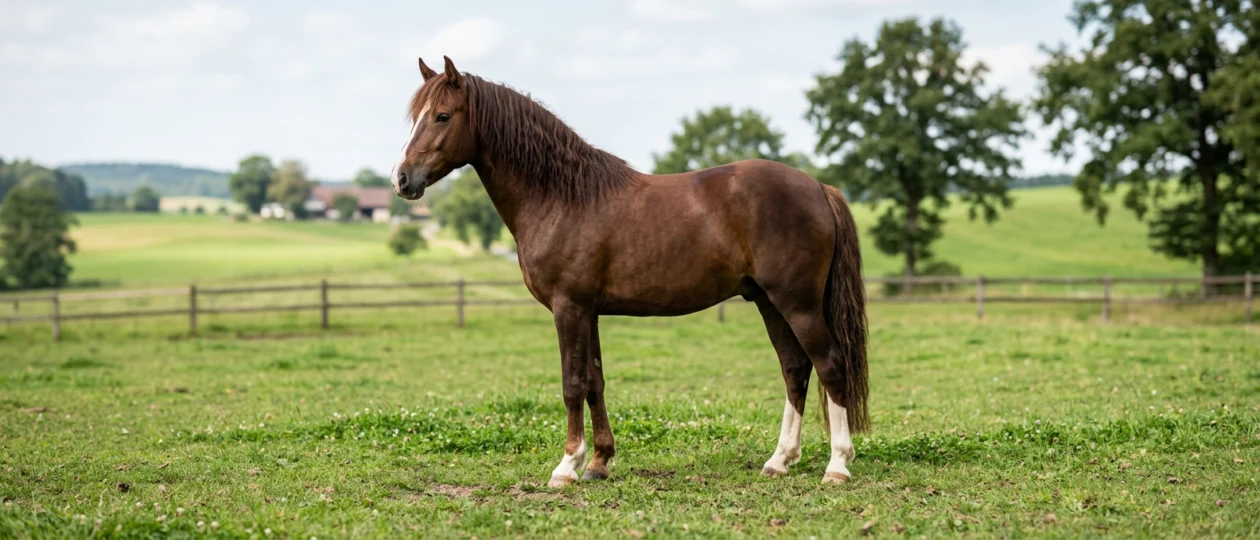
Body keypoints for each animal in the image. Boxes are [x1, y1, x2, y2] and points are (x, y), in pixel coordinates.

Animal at [391, 56, 869, 488]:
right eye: (414, 117)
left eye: (442, 116)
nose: (401, 179)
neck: (562, 196)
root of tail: (818, 188)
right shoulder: (589, 311)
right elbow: (595, 382)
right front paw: (599, 463)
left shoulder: (569, 308)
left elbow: (571, 384)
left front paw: (566, 467)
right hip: (769, 301)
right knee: (795, 368)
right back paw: (779, 460)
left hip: (797, 303)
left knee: (830, 365)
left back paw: (837, 466)